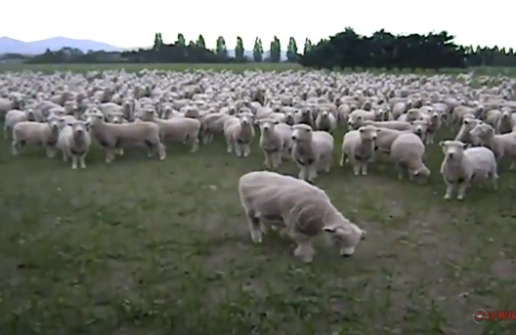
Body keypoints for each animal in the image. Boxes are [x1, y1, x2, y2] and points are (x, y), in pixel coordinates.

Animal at [238, 172, 366, 264]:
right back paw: (257, 238)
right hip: (250, 210)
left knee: (263, 219)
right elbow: (304, 241)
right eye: (339, 237)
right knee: (254, 223)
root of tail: (246, 175)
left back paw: (266, 229)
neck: (322, 211)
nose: (347, 255)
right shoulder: (295, 224)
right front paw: (305, 257)